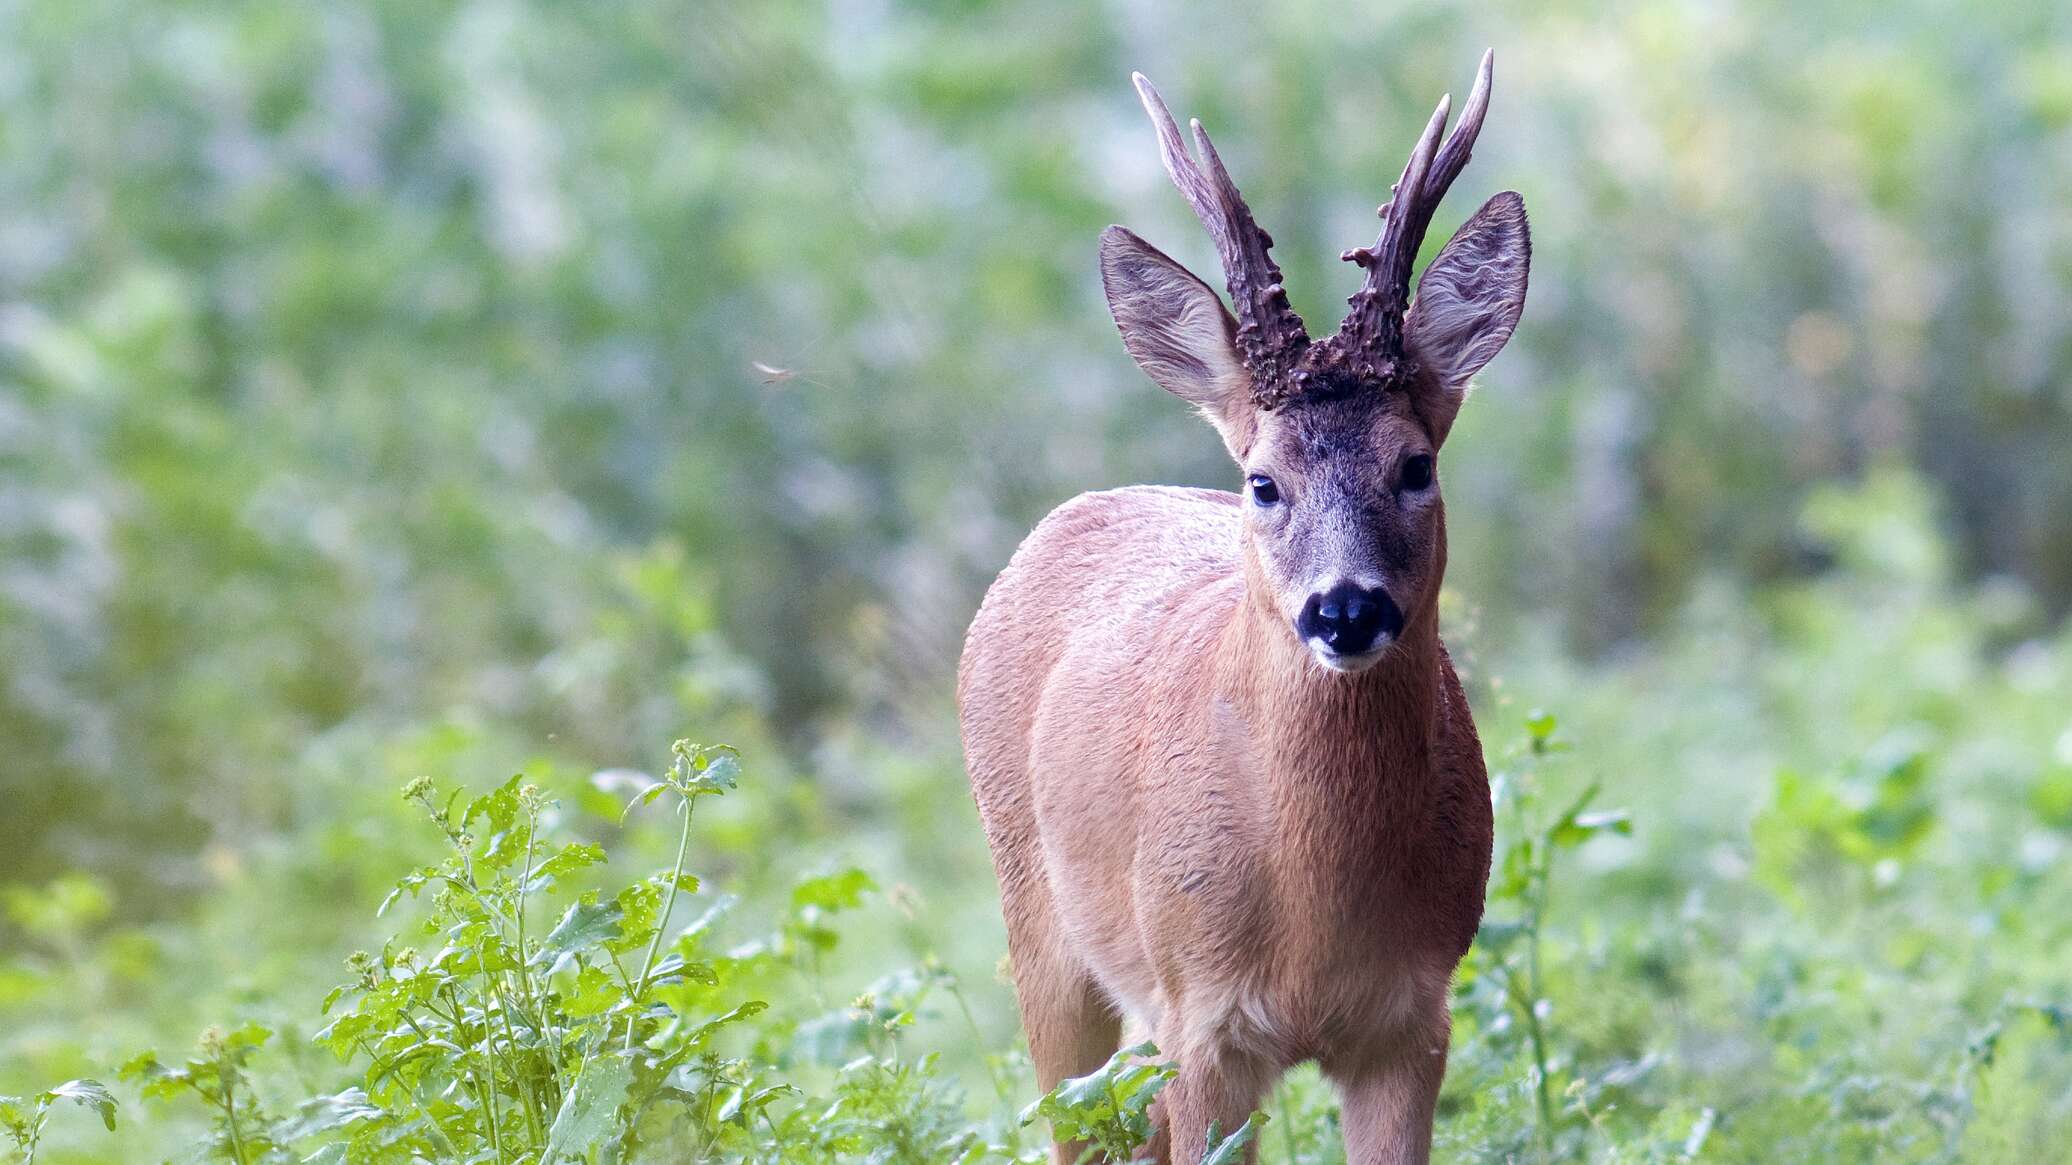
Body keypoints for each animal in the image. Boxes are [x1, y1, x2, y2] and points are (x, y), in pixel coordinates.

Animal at [953, 49, 1524, 1152]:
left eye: (1416, 465)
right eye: (1263, 480)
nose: (1344, 610)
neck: (1316, 916)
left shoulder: (1413, 1022)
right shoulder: (1202, 1020)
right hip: (1040, 925)